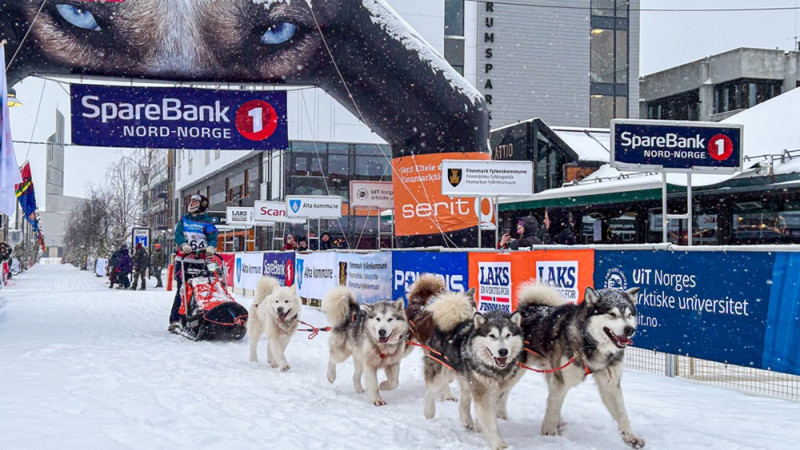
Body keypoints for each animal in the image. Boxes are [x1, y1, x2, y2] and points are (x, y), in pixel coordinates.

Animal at [520, 284, 644, 448]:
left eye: (629, 315)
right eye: (612, 314)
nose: (629, 329)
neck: (589, 343)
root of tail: (527, 308)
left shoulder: (610, 384)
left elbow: (622, 413)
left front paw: (630, 437)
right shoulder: (562, 380)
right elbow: (553, 409)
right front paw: (550, 435)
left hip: (551, 370)